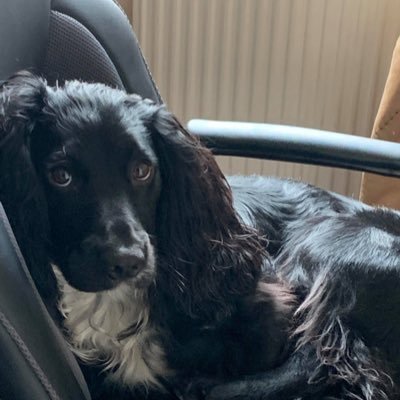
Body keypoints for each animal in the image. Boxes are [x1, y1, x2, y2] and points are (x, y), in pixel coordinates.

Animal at [0, 72, 398, 400]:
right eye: (60, 176)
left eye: (143, 170)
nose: (128, 261)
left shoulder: (274, 307)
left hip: (321, 239)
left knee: (320, 360)